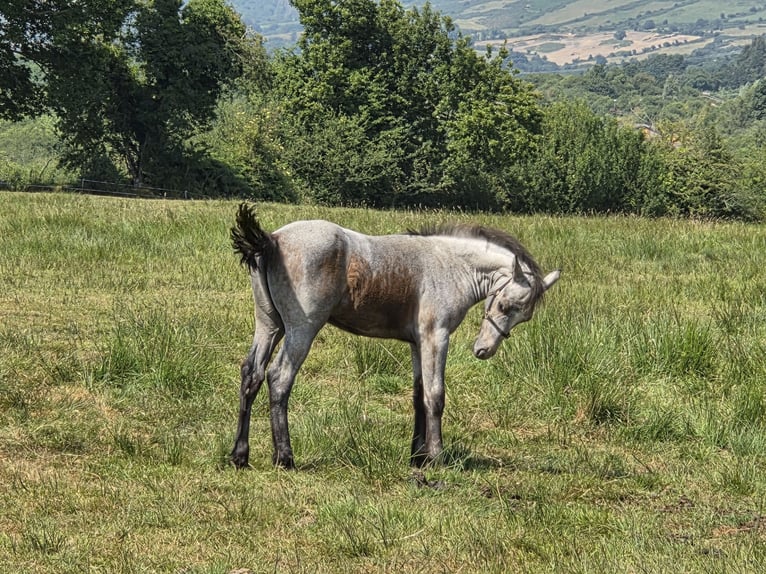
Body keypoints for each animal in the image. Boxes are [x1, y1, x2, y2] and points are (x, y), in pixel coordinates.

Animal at [230, 203, 560, 469]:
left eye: (525, 316)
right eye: (505, 305)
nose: (484, 350)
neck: (450, 266)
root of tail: (272, 239)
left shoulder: (417, 343)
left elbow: (418, 395)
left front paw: (418, 457)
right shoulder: (436, 337)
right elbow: (435, 396)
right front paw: (437, 457)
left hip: (270, 325)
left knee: (252, 374)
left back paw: (239, 455)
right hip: (302, 329)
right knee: (279, 378)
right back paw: (284, 458)